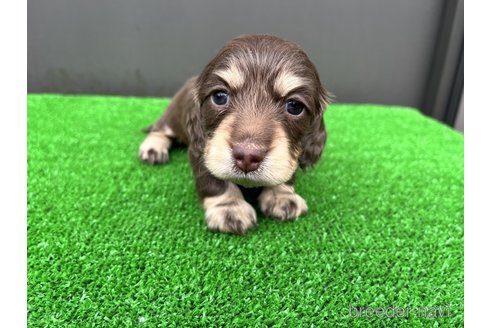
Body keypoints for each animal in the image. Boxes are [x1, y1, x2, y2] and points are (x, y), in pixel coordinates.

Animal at [138, 34, 330, 234]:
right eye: (219, 96)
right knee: (160, 129)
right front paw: (229, 207)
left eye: (295, 106)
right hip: (174, 115)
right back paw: (153, 148)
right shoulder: (204, 148)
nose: (247, 157)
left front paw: (282, 195)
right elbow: (212, 179)